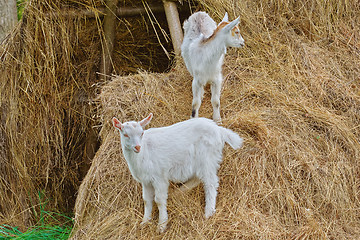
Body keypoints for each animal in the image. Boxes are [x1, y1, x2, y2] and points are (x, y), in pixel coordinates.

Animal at [111, 113, 243, 232]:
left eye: (141, 133)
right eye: (125, 134)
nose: (138, 147)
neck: (145, 152)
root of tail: (219, 130)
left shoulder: (159, 177)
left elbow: (159, 200)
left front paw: (162, 225)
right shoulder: (146, 180)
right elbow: (147, 200)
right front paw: (145, 222)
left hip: (207, 158)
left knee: (210, 183)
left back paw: (208, 212)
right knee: (197, 178)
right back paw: (180, 191)